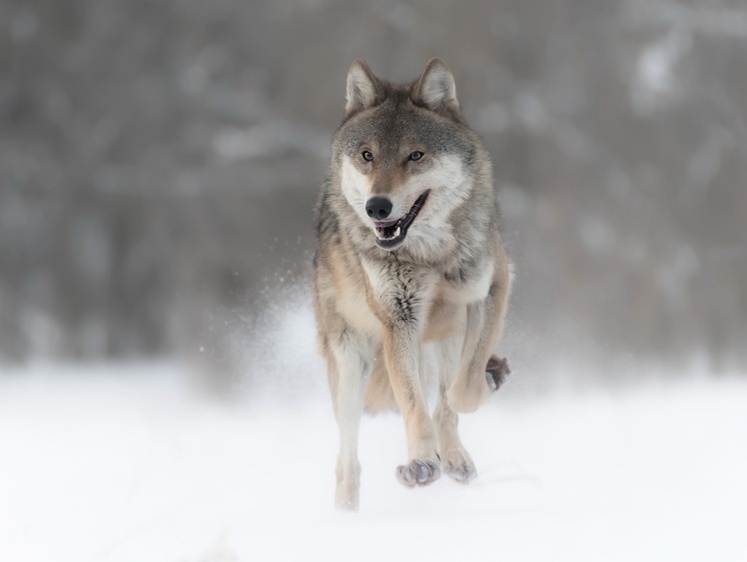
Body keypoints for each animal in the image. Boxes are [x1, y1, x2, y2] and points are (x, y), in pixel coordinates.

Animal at [312, 57, 516, 508]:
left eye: (415, 156)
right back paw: (345, 513)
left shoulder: (493, 289)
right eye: (367, 156)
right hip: (350, 368)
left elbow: (461, 393)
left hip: (445, 337)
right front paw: (421, 463)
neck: (429, 256)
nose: (377, 207)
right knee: (346, 462)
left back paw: (457, 454)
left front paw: (481, 386)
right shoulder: (398, 320)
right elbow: (413, 404)